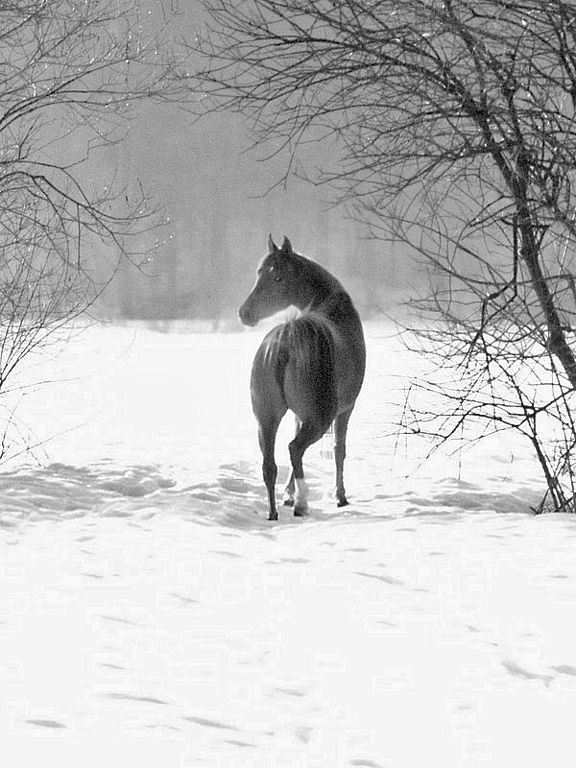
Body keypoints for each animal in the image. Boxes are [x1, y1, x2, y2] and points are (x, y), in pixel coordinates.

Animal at [240, 234, 366, 520]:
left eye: (277, 277)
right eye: (260, 273)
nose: (245, 313)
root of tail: (283, 345)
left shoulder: (299, 414)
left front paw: (287, 494)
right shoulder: (346, 409)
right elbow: (339, 450)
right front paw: (340, 496)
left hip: (266, 418)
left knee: (270, 463)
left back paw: (274, 512)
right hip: (320, 417)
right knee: (295, 448)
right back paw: (302, 502)